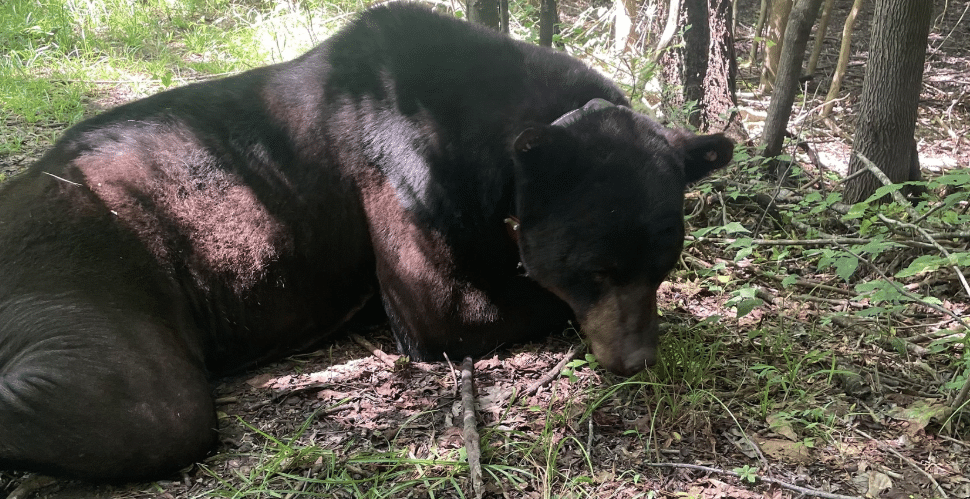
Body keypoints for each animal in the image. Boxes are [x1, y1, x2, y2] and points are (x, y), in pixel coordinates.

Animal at [0, 1, 728, 482]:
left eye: (660, 265)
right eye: (595, 270)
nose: (636, 358)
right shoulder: (403, 179)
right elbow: (453, 306)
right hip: (81, 263)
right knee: (147, 405)